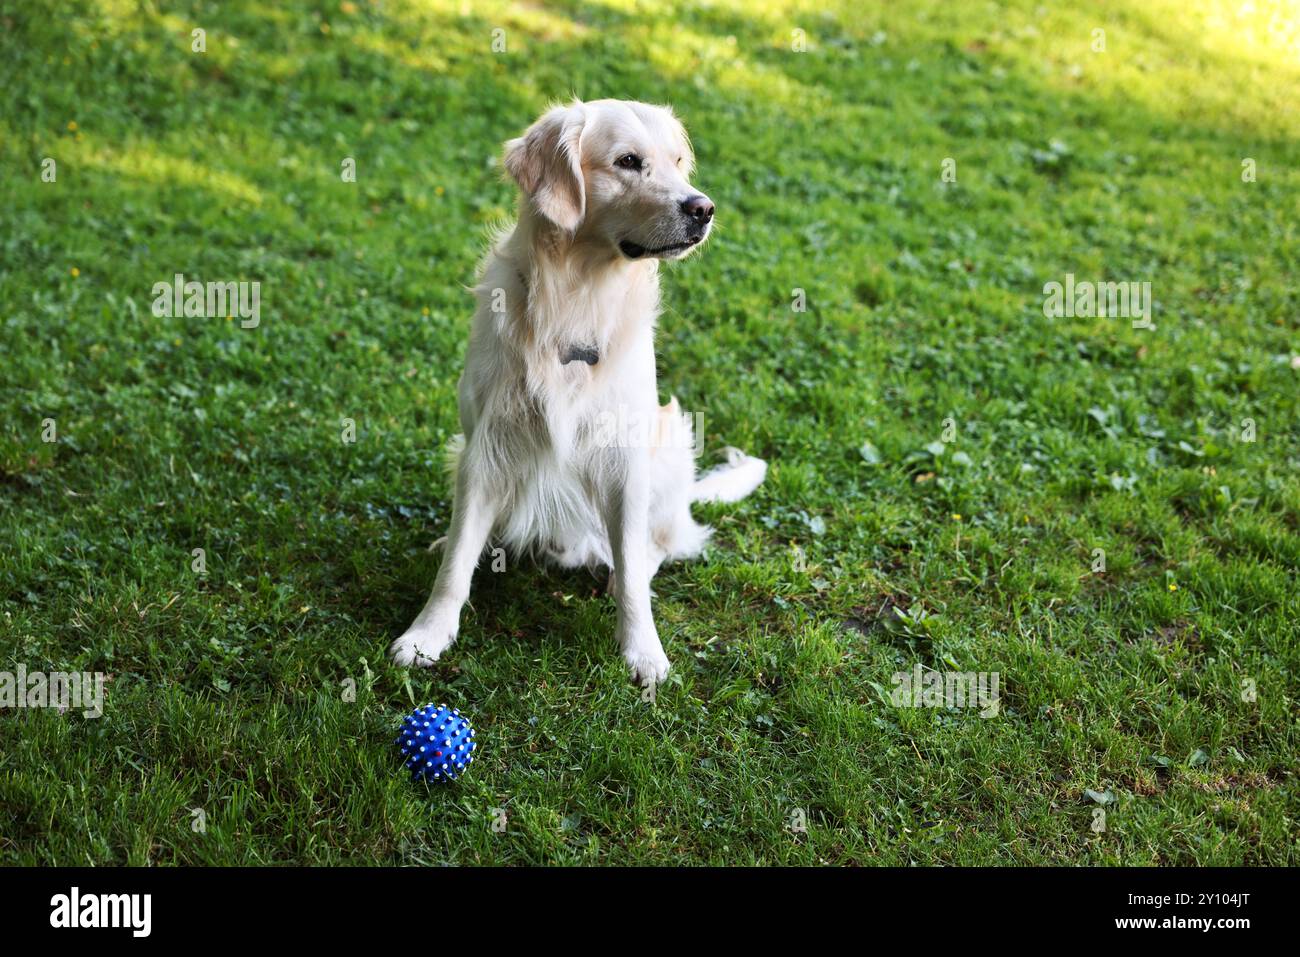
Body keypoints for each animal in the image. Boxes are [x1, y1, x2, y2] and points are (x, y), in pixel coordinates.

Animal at [390, 98, 764, 681]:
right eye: (628, 161)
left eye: (678, 162)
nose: (703, 208)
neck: (578, 296)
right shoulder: (486, 445)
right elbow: (456, 566)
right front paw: (427, 634)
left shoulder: (625, 458)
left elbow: (632, 570)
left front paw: (643, 651)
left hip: (671, 443)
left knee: (658, 543)